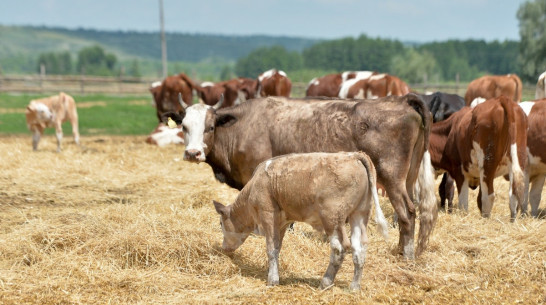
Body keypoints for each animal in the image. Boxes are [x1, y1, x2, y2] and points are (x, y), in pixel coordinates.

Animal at [168, 94, 436, 258]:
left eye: (210, 127)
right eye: (184, 126)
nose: (192, 153)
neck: (243, 126)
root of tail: (402, 99)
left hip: (392, 177)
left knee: (407, 213)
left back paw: (406, 255)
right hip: (408, 178)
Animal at [212, 152, 386, 290]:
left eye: (221, 224)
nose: (224, 248)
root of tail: (353, 155)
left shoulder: (267, 214)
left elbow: (270, 249)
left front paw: (272, 280)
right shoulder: (282, 222)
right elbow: (276, 248)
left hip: (332, 217)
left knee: (340, 247)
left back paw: (325, 282)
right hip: (360, 214)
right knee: (359, 248)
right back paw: (354, 286)